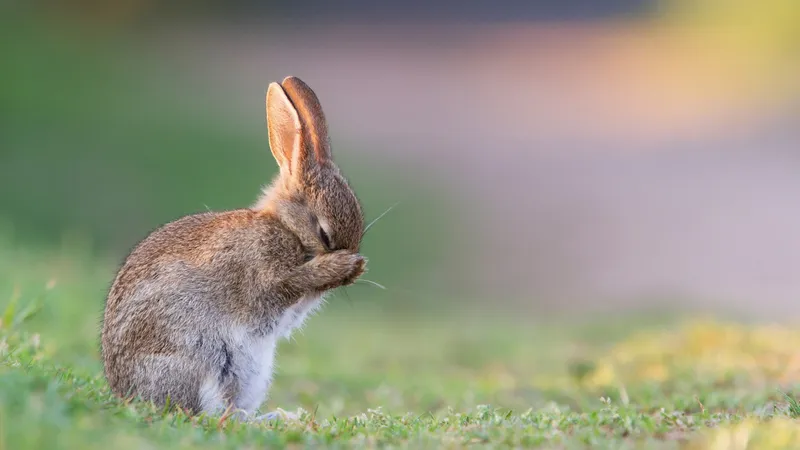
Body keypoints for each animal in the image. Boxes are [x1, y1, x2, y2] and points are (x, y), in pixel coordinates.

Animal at [98, 75, 368, 420]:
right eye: (324, 234)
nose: (353, 262)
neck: (286, 227)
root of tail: (126, 393)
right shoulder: (263, 276)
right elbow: (287, 285)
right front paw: (341, 266)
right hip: (202, 360)